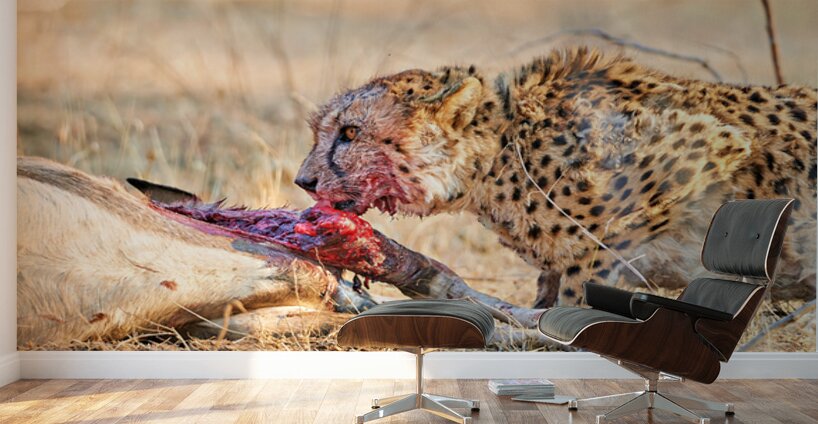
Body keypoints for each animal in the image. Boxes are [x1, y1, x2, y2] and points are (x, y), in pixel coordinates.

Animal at [295, 47, 817, 308]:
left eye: (349, 133)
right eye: (320, 131)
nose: (303, 182)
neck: (504, 153)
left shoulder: (716, 145)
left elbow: (587, 277)